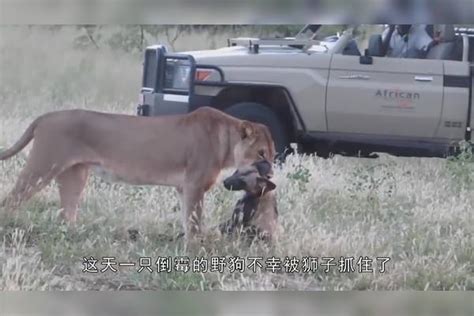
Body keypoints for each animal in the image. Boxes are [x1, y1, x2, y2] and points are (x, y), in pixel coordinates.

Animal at [0, 106, 276, 237]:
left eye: (274, 155)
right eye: (261, 154)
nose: (271, 173)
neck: (226, 143)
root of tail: (45, 116)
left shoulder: (183, 188)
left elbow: (187, 220)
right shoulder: (194, 185)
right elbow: (195, 222)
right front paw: (197, 250)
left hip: (74, 175)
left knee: (66, 213)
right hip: (42, 165)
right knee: (11, 200)